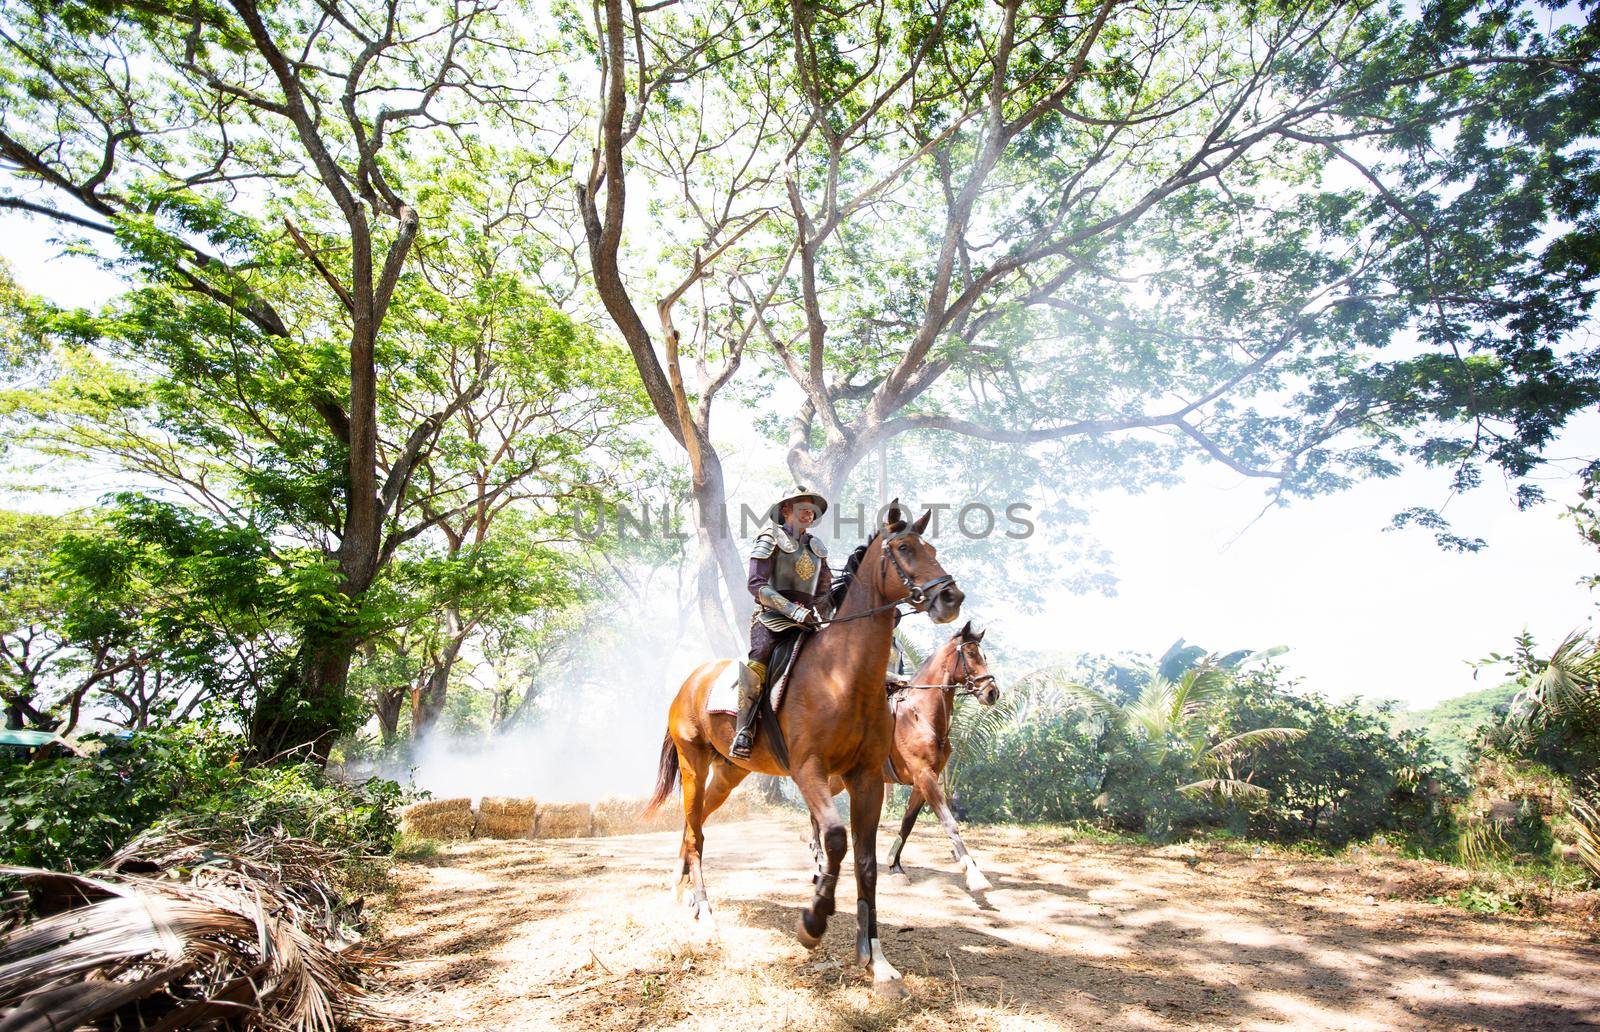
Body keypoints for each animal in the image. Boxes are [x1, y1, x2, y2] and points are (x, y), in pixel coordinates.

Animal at [640, 502, 960, 992]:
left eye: (933, 550)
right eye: (905, 548)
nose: (952, 598)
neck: (843, 676)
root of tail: (690, 681)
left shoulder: (867, 780)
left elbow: (866, 863)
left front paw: (876, 960)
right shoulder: (810, 771)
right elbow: (835, 839)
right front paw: (814, 920)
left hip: (729, 773)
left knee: (695, 828)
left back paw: (683, 896)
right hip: (694, 766)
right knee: (694, 832)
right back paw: (705, 910)